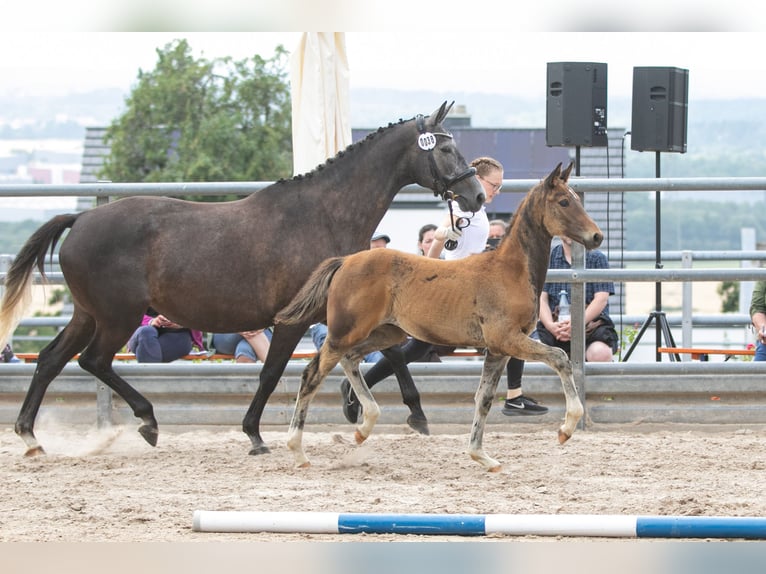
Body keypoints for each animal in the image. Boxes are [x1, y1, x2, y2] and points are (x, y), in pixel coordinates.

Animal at [0, 100, 486, 460]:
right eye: (445, 150)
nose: (477, 195)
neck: (322, 215)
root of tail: (79, 219)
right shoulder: (296, 319)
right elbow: (271, 372)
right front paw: (255, 434)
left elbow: (394, 354)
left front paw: (394, 411)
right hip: (117, 317)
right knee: (93, 361)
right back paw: (147, 421)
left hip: (88, 314)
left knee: (51, 360)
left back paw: (31, 437)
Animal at [276, 162, 608, 472]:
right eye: (564, 202)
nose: (597, 236)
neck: (509, 271)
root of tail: (345, 261)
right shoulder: (508, 339)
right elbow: (560, 358)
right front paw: (566, 428)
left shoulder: (498, 349)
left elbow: (484, 398)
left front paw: (481, 456)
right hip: (344, 332)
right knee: (312, 374)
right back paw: (298, 450)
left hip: (386, 332)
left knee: (351, 360)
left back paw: (363, 426)